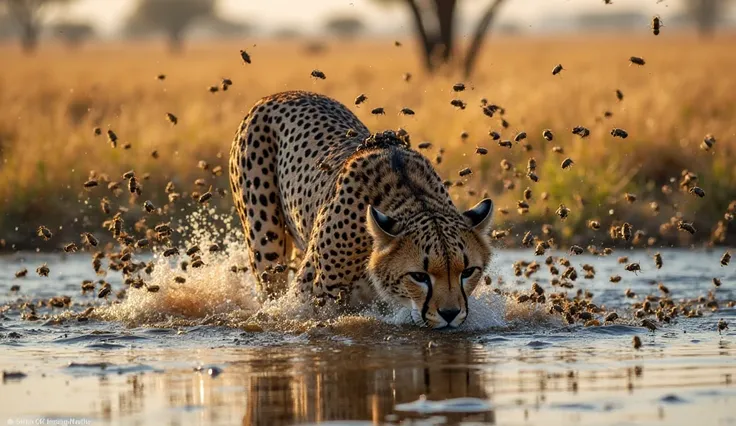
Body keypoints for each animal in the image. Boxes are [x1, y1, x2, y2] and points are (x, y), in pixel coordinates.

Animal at [230, 91, 494, 328]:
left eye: (468, 271)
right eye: (419, 276)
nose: (450, 313)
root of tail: (280, 94)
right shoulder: (312, 297)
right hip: (266, 247)